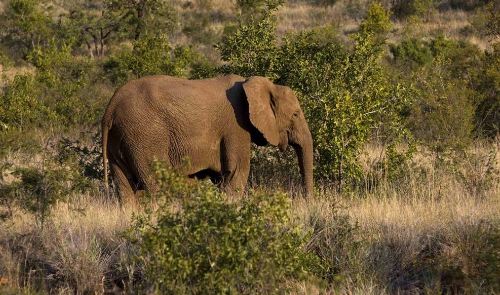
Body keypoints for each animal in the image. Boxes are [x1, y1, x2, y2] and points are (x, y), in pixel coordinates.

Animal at [100, 74, 312, 201]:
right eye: (295, 114)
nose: (306, 199)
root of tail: (110, 108)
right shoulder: (236, 126)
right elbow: (237, 171)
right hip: (145, 137)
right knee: (158, 184)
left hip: (122, 139)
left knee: (125, 189)